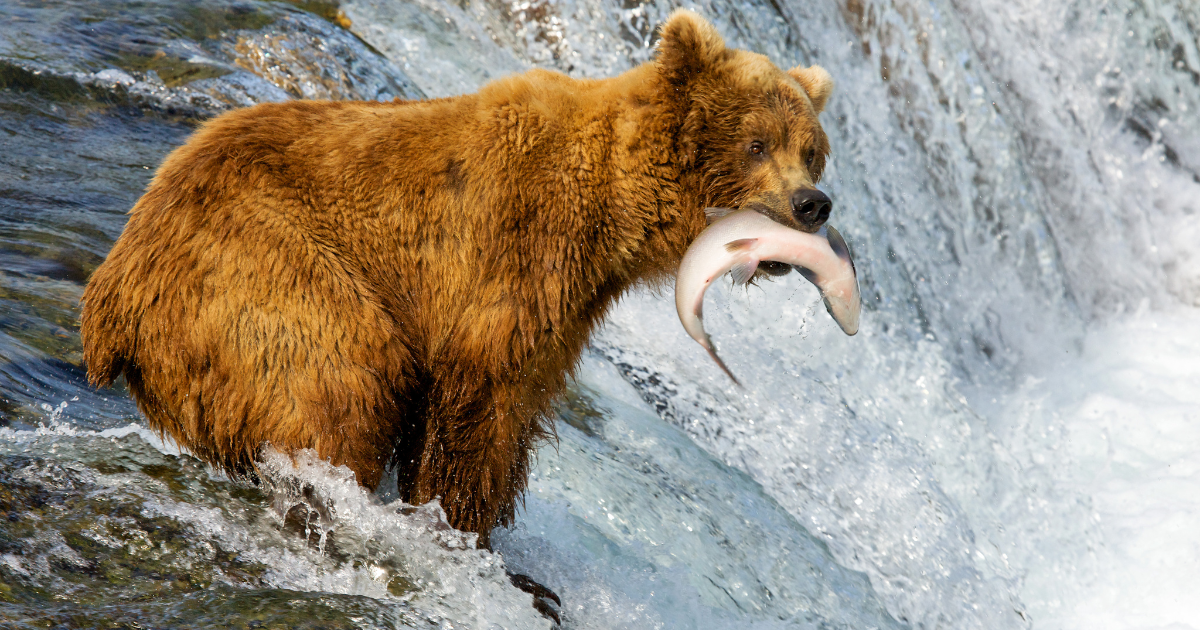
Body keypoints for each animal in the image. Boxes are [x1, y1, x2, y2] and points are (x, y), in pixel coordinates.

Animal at [79, 12, 835, 547]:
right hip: (263, 266)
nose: (813, 204)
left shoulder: (569, 304)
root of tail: (110, 293)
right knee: (341, 378)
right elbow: (481, 398)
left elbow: (519, 407)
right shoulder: (517, 250)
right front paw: (457, 520)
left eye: (811, 151)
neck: (614, 209)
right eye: (757, 143)